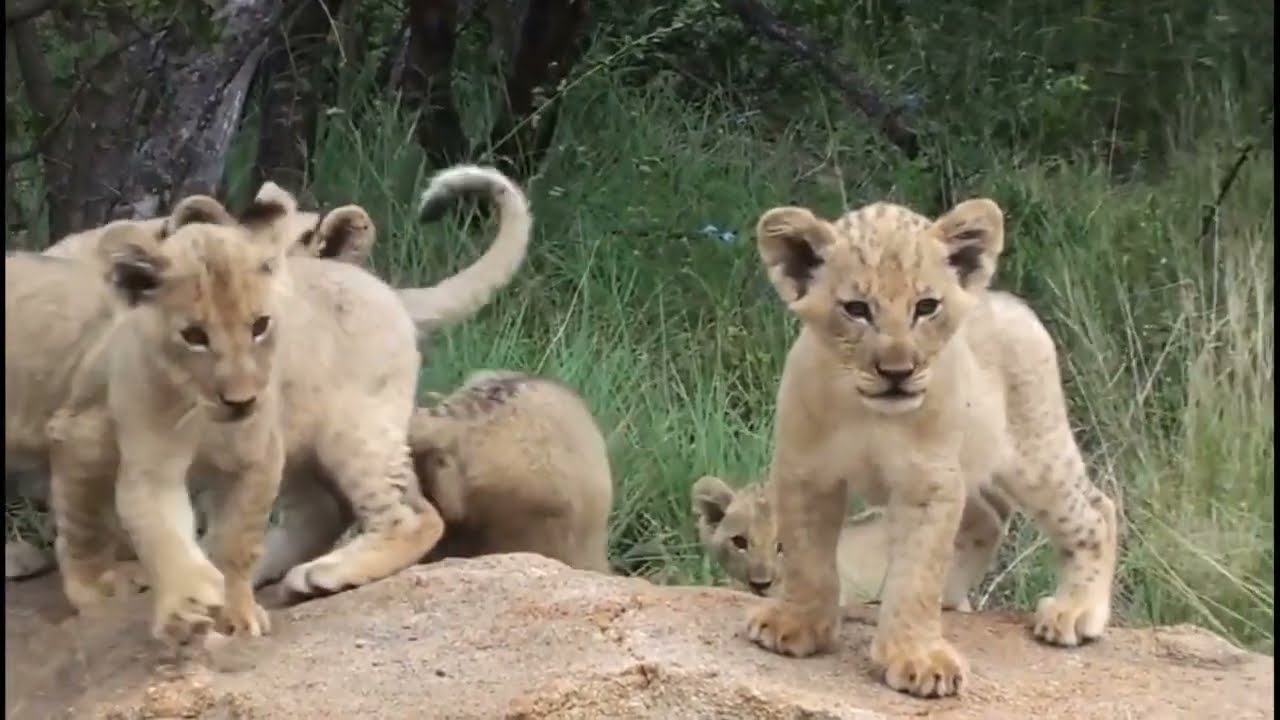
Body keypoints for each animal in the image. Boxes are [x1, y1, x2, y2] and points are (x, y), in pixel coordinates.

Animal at [43, 164, 534, 645]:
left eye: (260, 325)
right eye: (195, 336)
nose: (241, 396)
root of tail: (384, 288)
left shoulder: (253, 450)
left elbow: (228, 535)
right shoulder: (135, 450)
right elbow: (145, 525)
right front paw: (181, 603)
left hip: (354, 430)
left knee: (413, 517)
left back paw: (322, 574)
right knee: (319, 512)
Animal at [741, 199, 1119, 699]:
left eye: (926, 307)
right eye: (857, 309)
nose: (896, 371)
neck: (868, 413)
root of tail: (1007, 300)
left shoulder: (927, 481)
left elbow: (917, 570)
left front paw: (917, 659)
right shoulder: (807, 472)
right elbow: (808, 557)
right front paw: (796, 626)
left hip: (1036, 452)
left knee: (1095, 509)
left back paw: (1075, 612)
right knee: (989, 518)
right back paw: (952, 599)